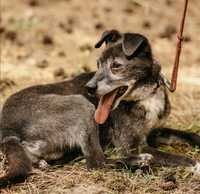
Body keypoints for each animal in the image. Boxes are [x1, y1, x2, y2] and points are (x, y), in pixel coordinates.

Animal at [0, 29, 200, 186]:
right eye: (98, 64)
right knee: (96, 162)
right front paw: (195, 164)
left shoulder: (154, 132)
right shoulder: (132, 146)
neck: (145, 96)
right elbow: (172, 157)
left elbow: (187, 134)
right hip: (81, 105)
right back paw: (138, 162)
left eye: (116, 66)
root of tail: (7, 131)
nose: (89, 88)